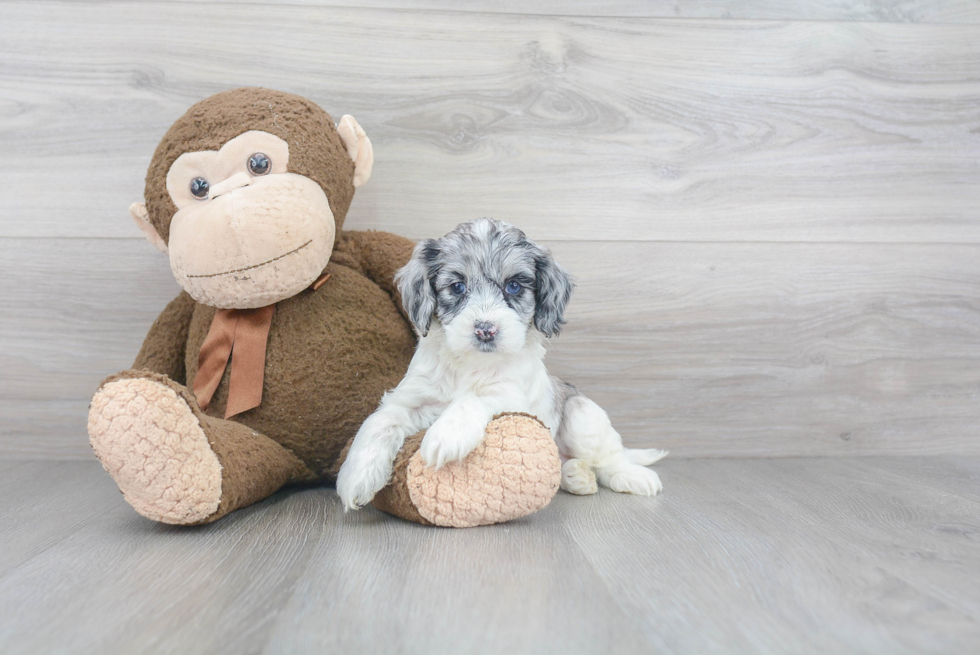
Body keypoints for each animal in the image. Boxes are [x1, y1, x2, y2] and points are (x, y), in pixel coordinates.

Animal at [336, 218, 668, 510]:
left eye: (514, 286)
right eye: (457, 287)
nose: (485, 329)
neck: (469, 366)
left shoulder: (511, 396)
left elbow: (472, 399)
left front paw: (446, 435)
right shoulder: (411, 398)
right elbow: (378, 423)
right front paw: (356, 476)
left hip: (582, 413)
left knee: (610, 458)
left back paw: (630, 475)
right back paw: (577, 475)